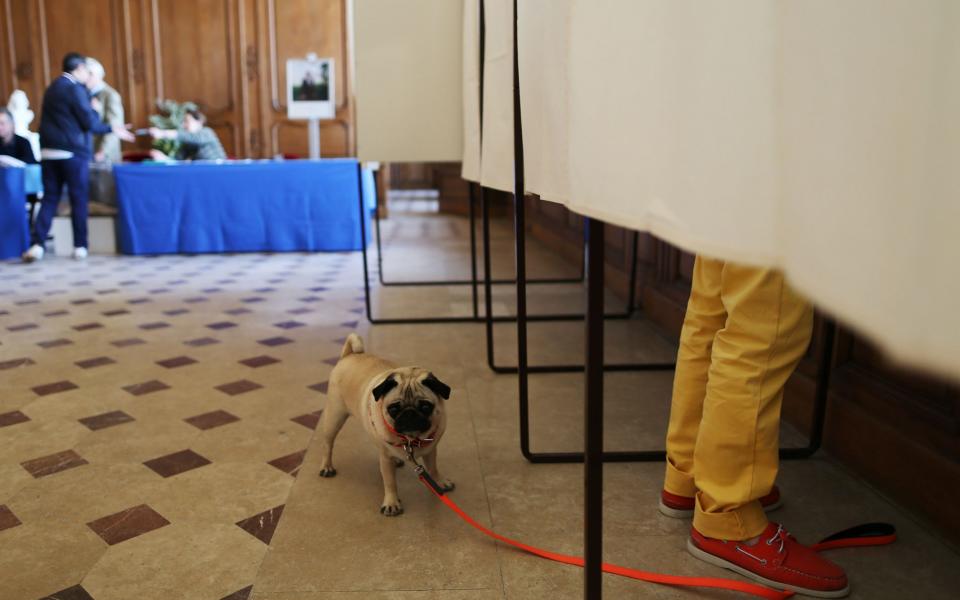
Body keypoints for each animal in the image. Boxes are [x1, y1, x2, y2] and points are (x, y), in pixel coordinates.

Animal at [316, 332, 456, 516]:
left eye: (426, 407)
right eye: (394, 408)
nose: (409, 413)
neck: (410, 440)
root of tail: (349, 355)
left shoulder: (431, 450)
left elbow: (433, 469)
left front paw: (439, 482)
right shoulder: (386, 460)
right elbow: (390, 483)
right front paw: (391, 503)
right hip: (334, 417)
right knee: (327, 443)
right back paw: (326, 466)